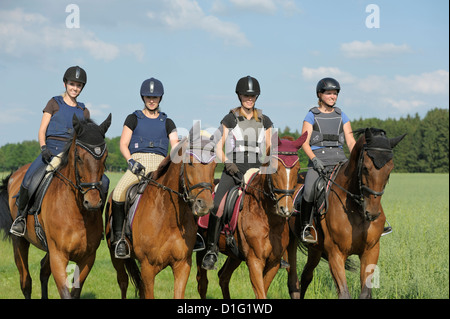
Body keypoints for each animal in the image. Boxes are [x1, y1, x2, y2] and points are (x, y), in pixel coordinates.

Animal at [0, 115, 111, 300]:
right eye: (79, 157)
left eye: (105, 157)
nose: (93, 202)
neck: (77, 213)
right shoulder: (59, 256)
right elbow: (65, 293)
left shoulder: (87, 258)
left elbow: (74, 292)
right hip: (20, 241)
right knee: (26, 282)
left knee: (43, 271)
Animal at [106, 131, 218, 300]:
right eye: (190, 163)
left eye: (215, 165)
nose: (204, 204)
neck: (168, 217)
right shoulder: (148, 266)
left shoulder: (182, 265)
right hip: (116, 257)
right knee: (123, 282)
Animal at [195, 132, 308, 300]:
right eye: (274, 169)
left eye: (298, 169)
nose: (285, 209)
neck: (268, 219)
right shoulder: (255, 261)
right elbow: (260, 294)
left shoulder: (273, 263)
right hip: (201, 250)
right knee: (202, 283)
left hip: (234, 255)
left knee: (223, 276)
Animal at [288, 127, 408, 300]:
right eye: (365, 168)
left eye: (390, 169)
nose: (372, 213)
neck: (356, 210)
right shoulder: (336, 253)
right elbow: (344, 293)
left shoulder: (371, 251)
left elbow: (365, 293)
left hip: (315, 249)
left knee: (306, 276)